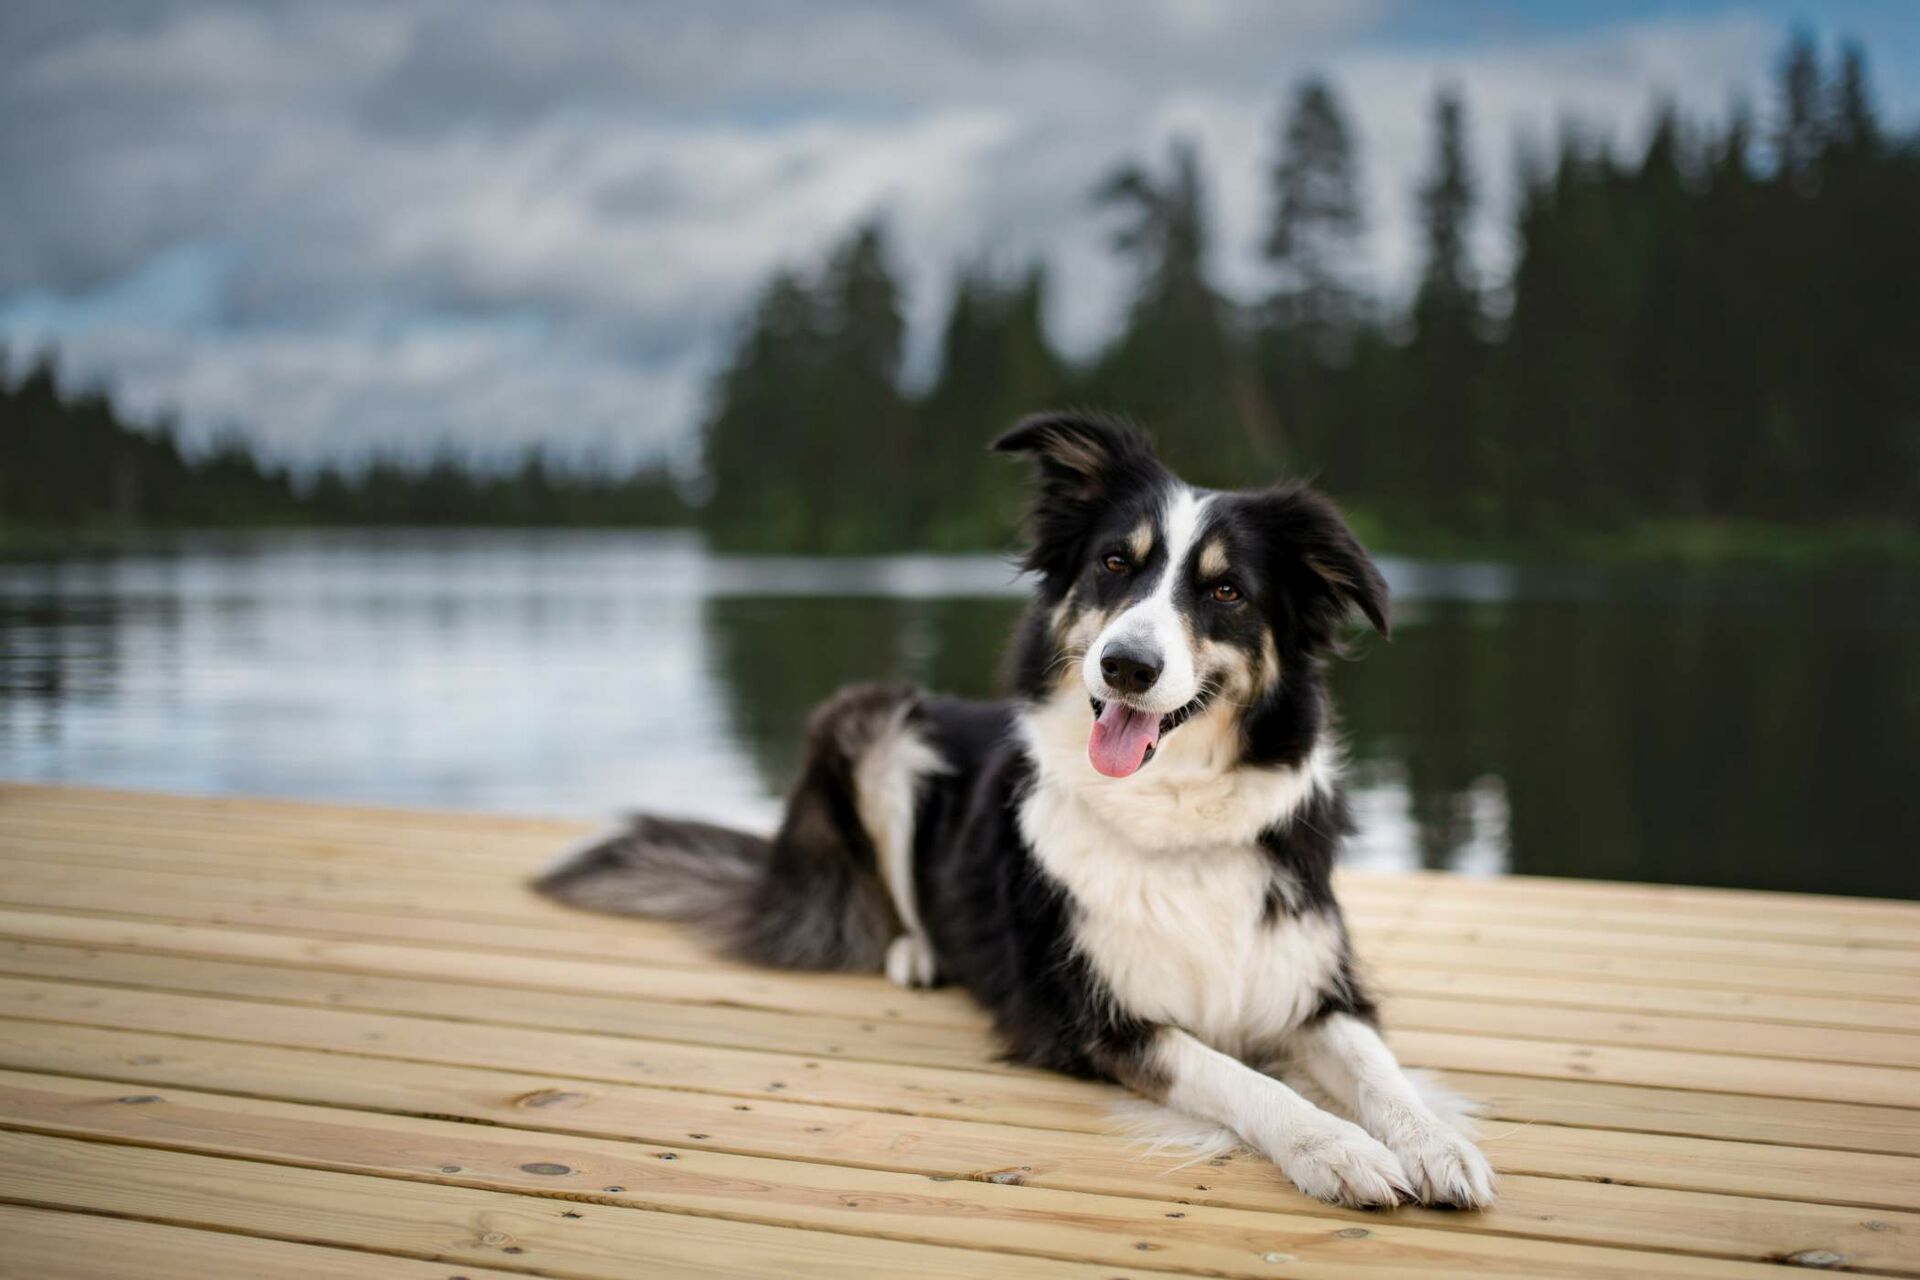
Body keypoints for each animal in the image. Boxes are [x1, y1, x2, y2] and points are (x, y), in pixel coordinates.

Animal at [537, 410, 1497, 1212]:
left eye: (1227, 592)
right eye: (1115, 563)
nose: (1126, 667)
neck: (1173, 816)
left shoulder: (1318, 986)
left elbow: (1380, 1068)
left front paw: (1433, 1144)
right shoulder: (1093, 1019)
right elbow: (1242, 1078)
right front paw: (1336, 1148)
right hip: (874, 723)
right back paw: (918, 954)